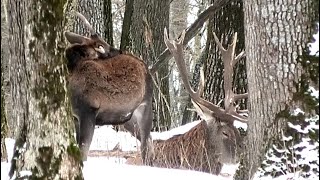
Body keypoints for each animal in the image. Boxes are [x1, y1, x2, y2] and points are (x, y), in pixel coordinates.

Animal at [63, 12, 154, 165]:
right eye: (105, 45)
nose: (119, 50)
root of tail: (147, 69)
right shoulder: (77, 116)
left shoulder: (89, 110)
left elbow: (83, 151)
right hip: (126, 118)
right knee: (149, 140)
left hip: (145, 105)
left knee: (146, 144)